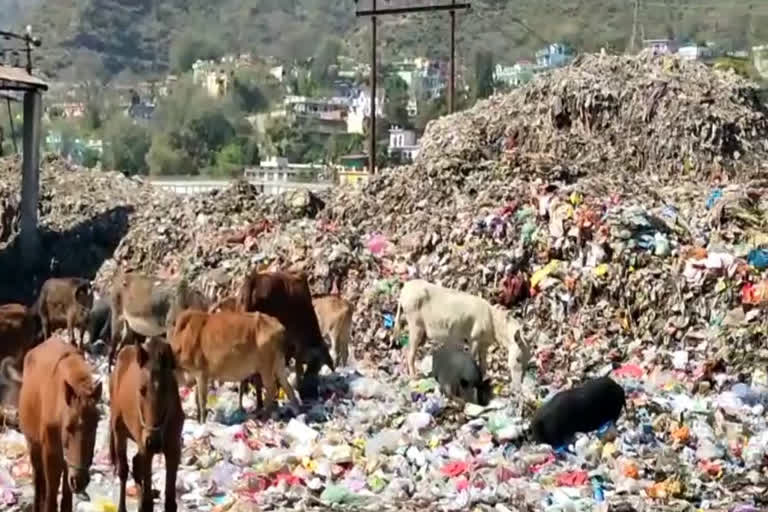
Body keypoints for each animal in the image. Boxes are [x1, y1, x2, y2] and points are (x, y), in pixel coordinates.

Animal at [14, 338, 102, 510]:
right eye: (68, 427)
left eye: (95, 426)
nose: (80, 482)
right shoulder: (51, 456)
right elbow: (51, 499)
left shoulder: (68, 463)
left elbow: (66, 499)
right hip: (33, 444)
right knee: (38, 479)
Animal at [109, 340, 183, 512]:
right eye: (141, 390)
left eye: (167, 389)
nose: (154, 441)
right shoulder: (147, 449)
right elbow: (149, 502)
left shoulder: (173, 450)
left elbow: (170, 502)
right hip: (119, 431)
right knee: (124, 470)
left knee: (136, 465)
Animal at [170, 308, 300, 424]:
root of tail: (279, 326)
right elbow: (197, 400)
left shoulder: (201, 374)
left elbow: (202, 401)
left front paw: (202, 422)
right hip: (279, 364)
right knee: (288, 387)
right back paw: (296, 413)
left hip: (266, 367)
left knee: (272, 388)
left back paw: (264, 416)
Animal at [392, 280, 532, 388]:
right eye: (518, 359)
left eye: (528, 360)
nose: (517, 387)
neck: (494, 322)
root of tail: (404, 289)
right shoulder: (474, 340)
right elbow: (471, 358)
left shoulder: (484, 344)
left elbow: (484, 365)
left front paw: (482, 383)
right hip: (415, 325)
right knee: (410, 353)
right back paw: (413, 378)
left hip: (421, 333)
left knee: (406, 349)